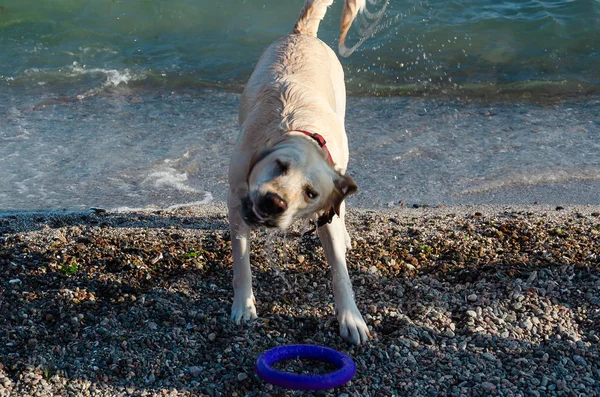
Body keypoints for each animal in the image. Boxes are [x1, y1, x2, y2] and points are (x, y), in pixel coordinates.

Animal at [227, 0, 370, 344]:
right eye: (280, 165)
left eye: (310, 193)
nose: (273, 202)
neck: (299, 128)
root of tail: (303, 34)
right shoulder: (236, 202)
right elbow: (241, 260)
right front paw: (244, 306)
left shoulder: (326, 211)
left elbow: (340, 271)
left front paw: (351, 318)